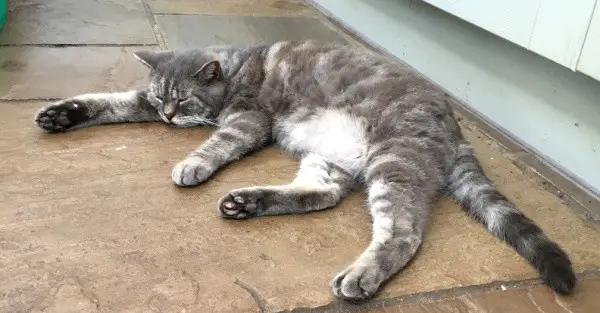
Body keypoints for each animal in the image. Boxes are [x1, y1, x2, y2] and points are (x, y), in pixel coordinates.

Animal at [34, 40, 576, 298]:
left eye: (183, 99)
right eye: (163, 96)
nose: (168, 116)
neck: (237, 64)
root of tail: (455, 127)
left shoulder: (247, 119)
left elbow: (217, 142)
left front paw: (192, 162)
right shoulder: (141, 101)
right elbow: (109, 101)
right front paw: (62, 113)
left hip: (393, 161)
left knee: (402, 233)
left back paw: (361, 274)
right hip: (328, 157)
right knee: (322, 196)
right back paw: (247, 201)